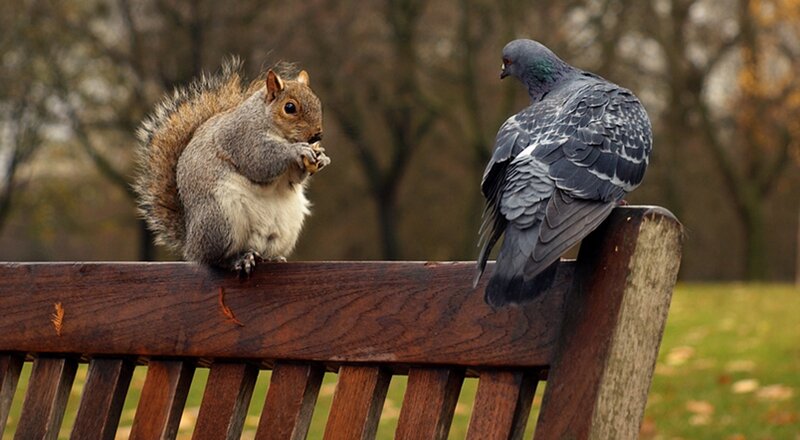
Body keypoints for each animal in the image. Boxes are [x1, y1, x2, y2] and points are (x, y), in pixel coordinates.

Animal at [134, 59, 330, 274]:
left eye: (317, 102)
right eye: (289, 107)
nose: (317, 135)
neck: (266, 119)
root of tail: (191, 243)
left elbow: (294, 177)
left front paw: (321, 158)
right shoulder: (242, 138)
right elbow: (260, 161)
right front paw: (297, 151)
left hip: (284, 228)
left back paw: (272, 258)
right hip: (221, 220)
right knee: (215, 259)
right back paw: (239, 260)